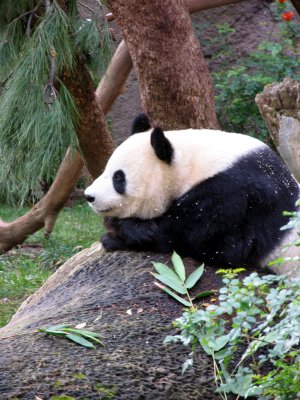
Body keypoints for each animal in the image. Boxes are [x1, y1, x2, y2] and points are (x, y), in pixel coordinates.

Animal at [85, 112, 300, 276]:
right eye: (106, 170)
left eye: (118, 178)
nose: (89, 196)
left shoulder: (231, 193)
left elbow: (203, 242)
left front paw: (118, 232)